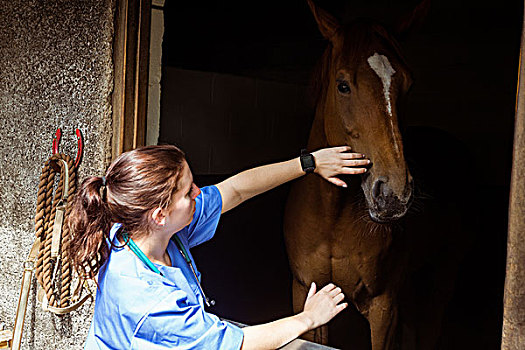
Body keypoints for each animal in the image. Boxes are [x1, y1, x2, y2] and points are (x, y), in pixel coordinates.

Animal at [282, 1, 430, 348]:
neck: (332, 218)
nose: (393, 194)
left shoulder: (383, 307)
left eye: (408, 85)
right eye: (343, 85)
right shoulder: (305, 293)